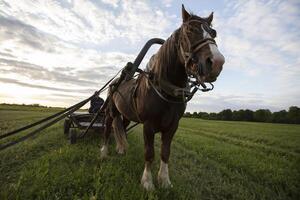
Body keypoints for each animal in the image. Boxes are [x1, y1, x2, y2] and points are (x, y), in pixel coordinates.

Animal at [101, 3, 225, 190]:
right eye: (189, 30)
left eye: (214, 32)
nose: (217, 62)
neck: (165, 88)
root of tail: (116, 83)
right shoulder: (148, 126)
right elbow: (149, 153)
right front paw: (147, 182)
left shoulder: (172, 126)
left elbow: (165, 153)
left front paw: (165, 180)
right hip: (110, 111)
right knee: (108, 129)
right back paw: (104, 152)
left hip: (126, 115)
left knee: (121, 127)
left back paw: (121, 148)